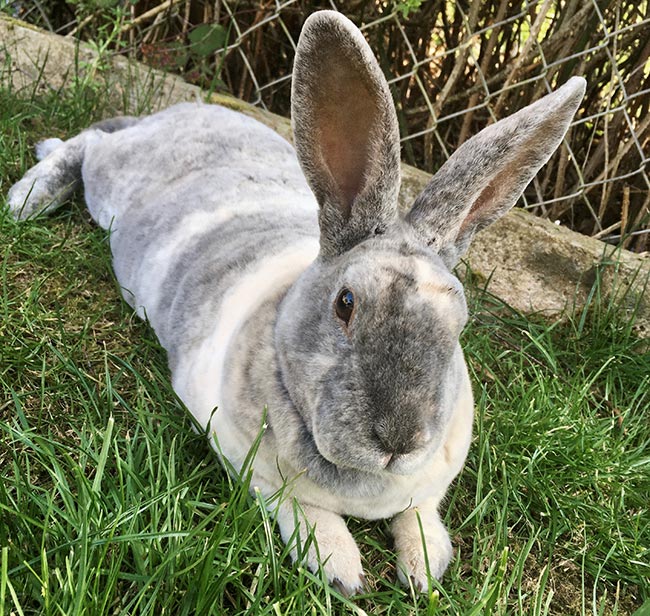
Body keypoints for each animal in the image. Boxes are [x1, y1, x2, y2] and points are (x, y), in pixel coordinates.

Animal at [6, 10, 584, 596]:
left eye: (458, 323)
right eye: (345, 303)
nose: (399, 440)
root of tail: (178, 112)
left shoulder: (428, 485)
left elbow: (420, 512)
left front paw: (426, 568)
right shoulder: (249, 466)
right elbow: (303, 511)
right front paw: (342, 570)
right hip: (110, 178)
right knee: (90, 141)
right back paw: (29, 196)